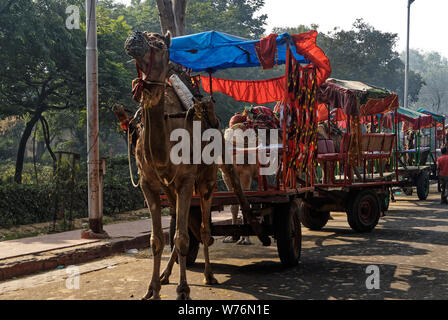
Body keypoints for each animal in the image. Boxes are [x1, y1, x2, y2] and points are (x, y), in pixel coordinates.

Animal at [123, 30, 248, 300]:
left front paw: (183, 290)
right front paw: (152, 289)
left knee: (203, 230)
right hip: (170, 188)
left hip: (207, 179)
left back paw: (209, 274)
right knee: (181, 227)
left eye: (159, 45)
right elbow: (157, 240)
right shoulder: (148, 184)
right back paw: (165, 275)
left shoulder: (186, 180)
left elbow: (182, 237)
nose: (134, 37)